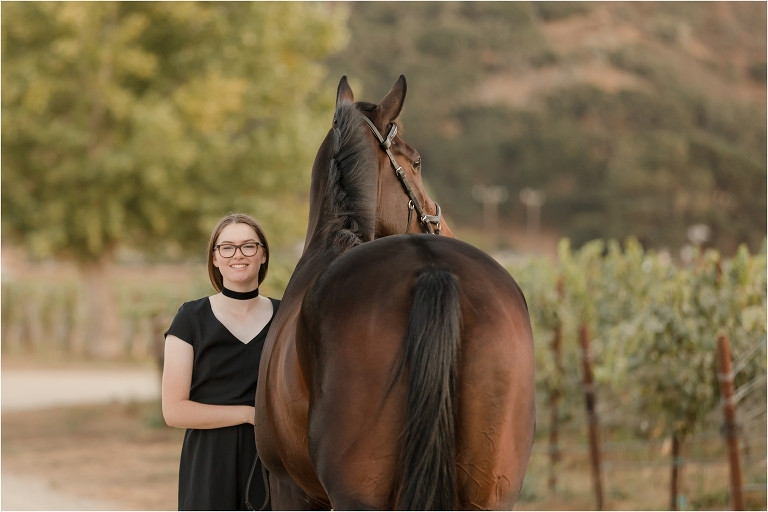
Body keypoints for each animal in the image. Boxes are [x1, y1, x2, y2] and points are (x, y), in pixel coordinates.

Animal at [254, 75, 535, 510]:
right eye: (417, 163)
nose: (444, 228)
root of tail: (432, 268)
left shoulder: (288, 485)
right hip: (492, 492)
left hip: (357, 493)